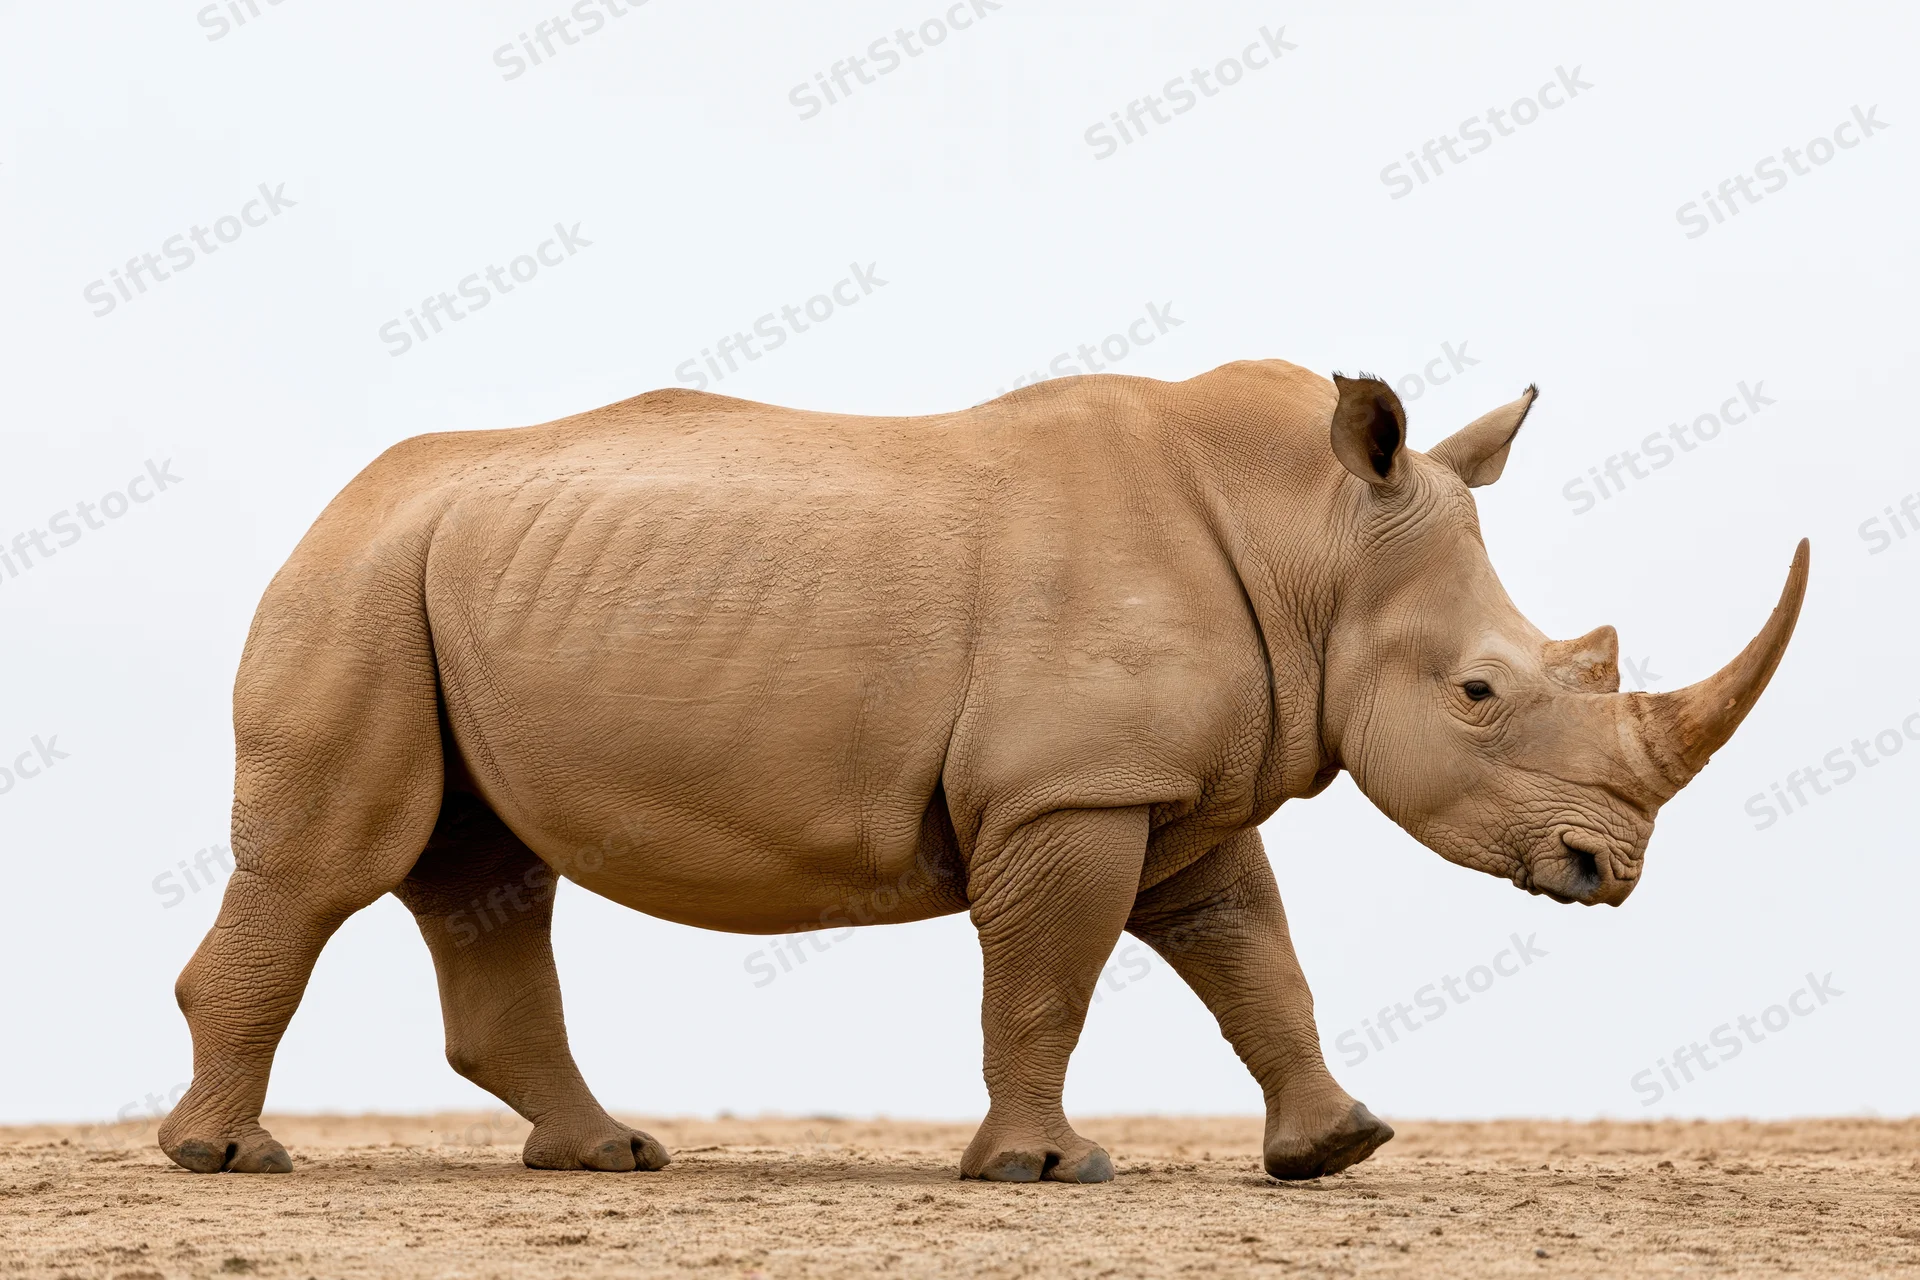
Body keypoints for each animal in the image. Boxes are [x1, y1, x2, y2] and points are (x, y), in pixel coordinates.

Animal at [160, 360, 1808, 1182]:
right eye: (1478, 694)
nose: (1609, 871)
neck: (1313, 541)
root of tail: (333, 501)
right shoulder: (1068, 789)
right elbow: (1048, 977)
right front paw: (1043, 1173)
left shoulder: (1169, 788)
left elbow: (1253, 957)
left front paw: (1338, 1148)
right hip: (356, 586)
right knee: (333, 868)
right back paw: (232, 1161)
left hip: (444, 583)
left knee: (485, 872)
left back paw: (609, 1159)